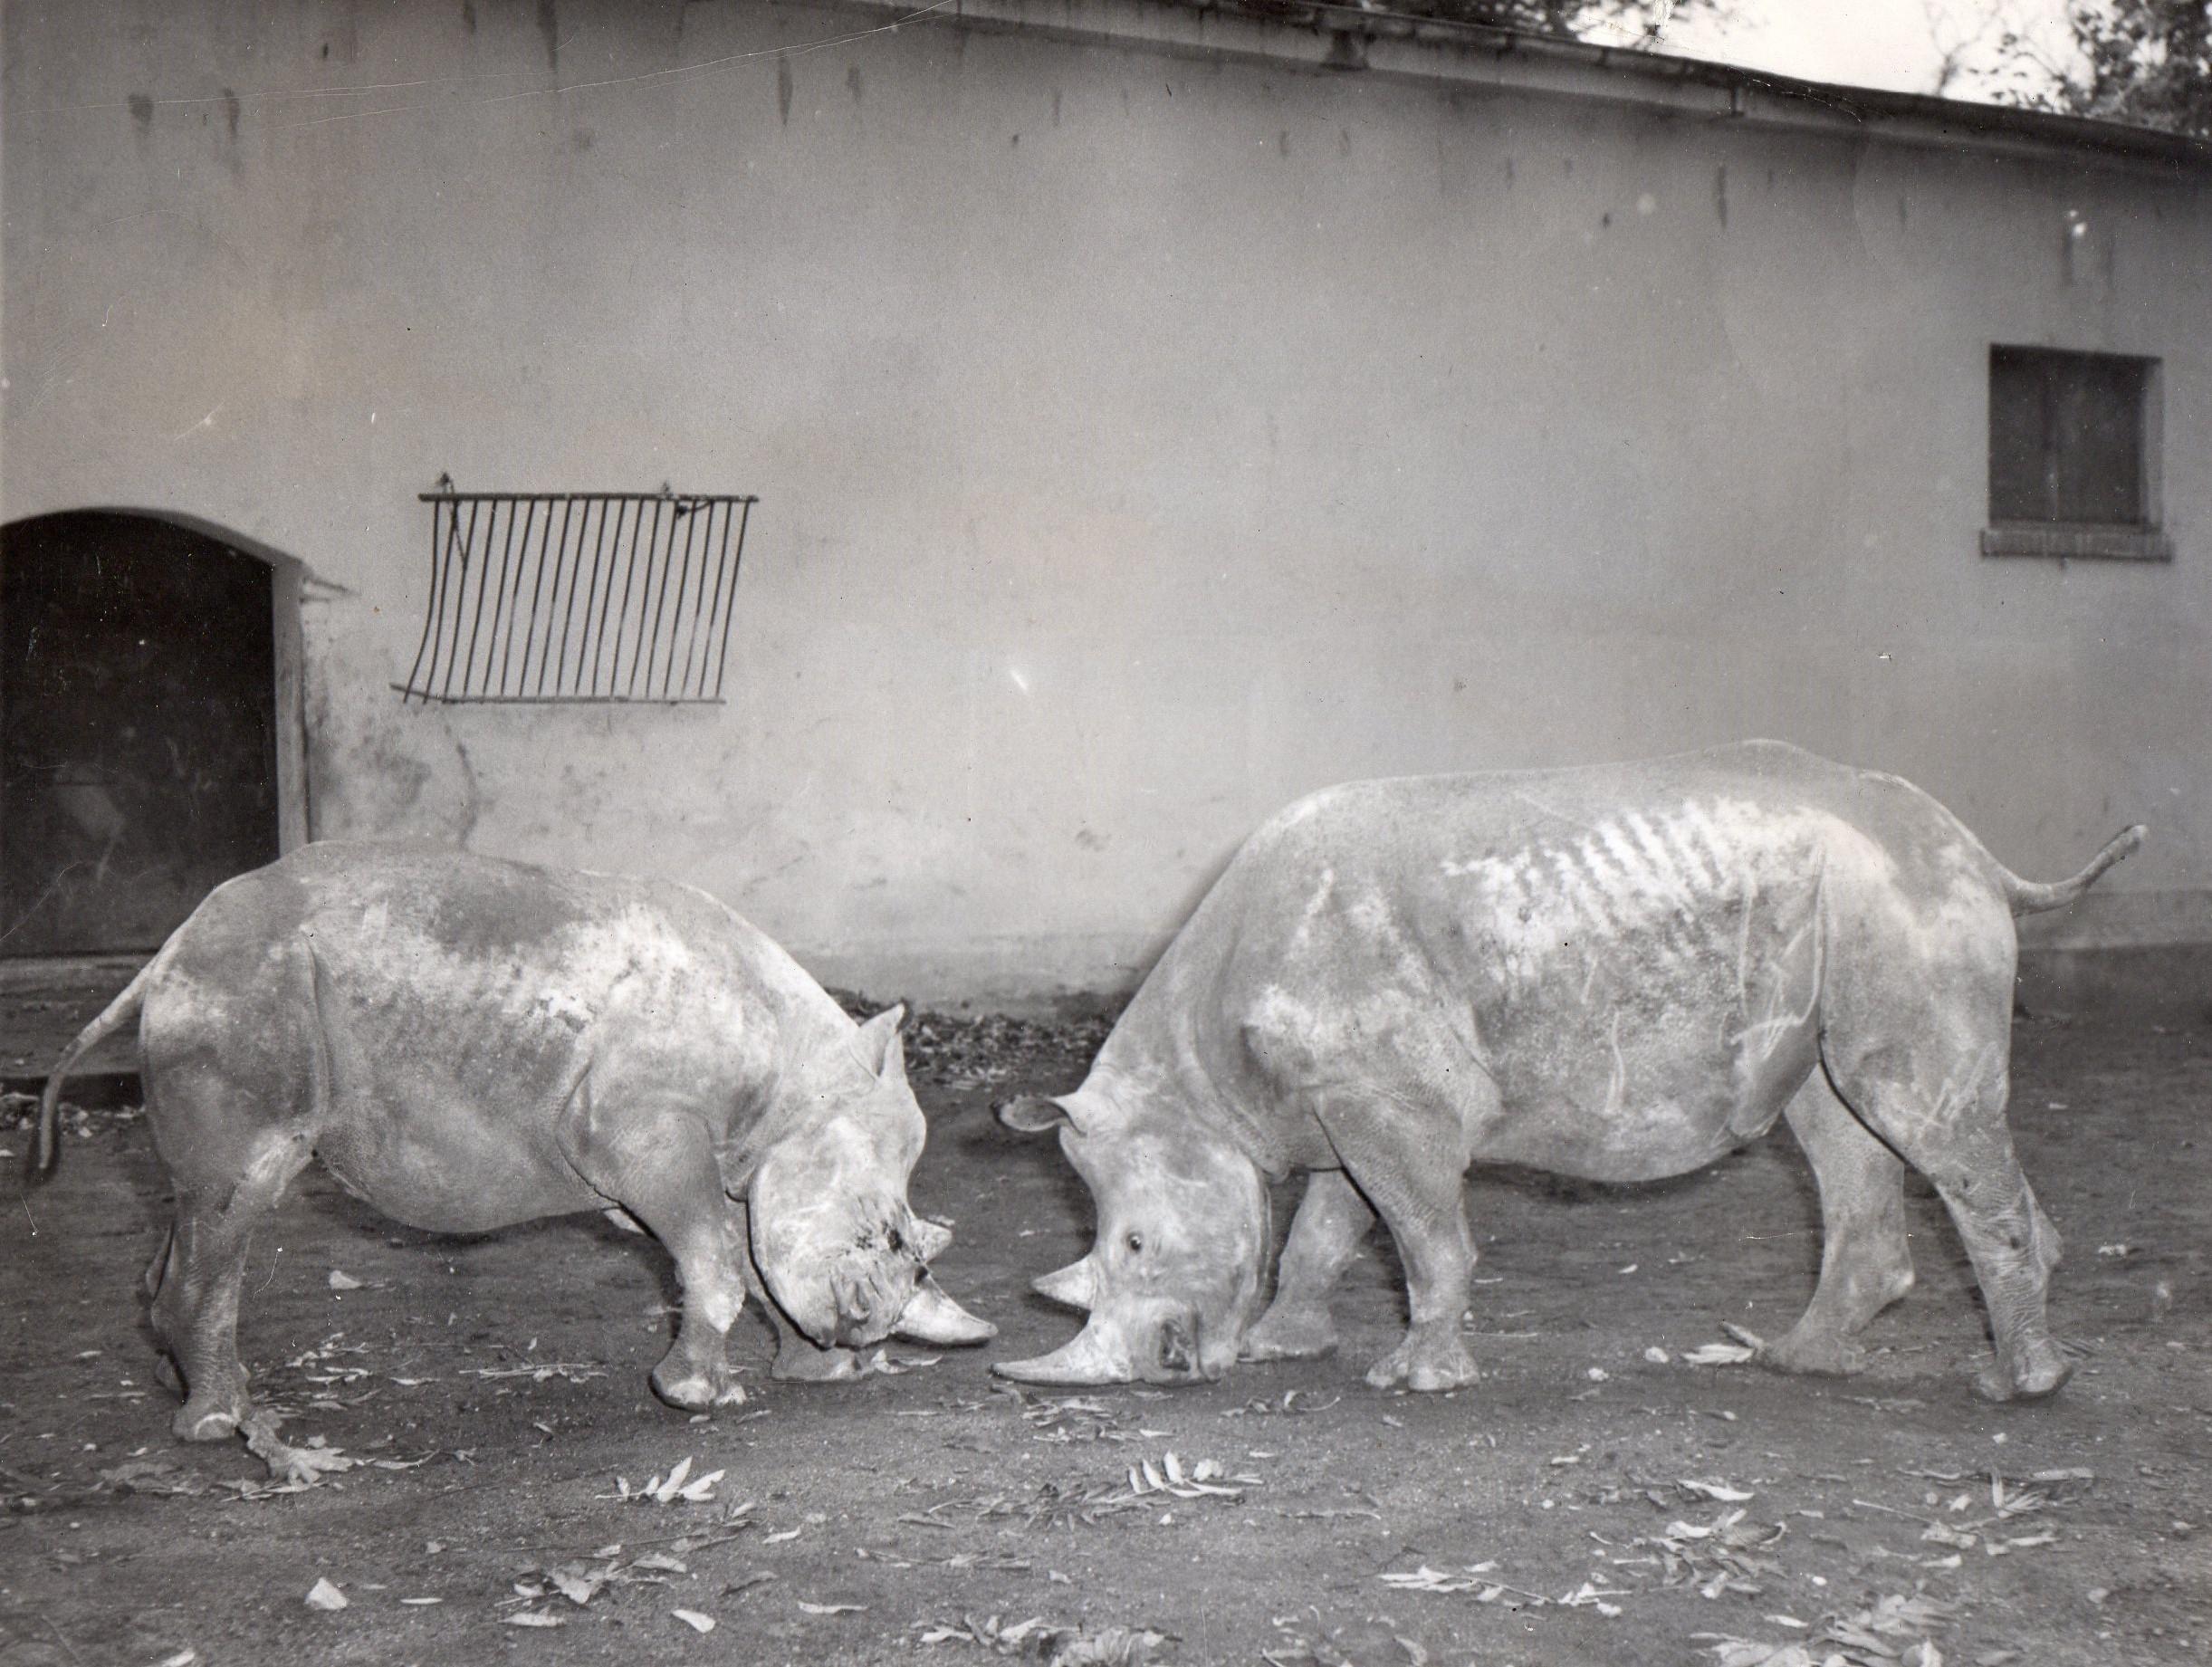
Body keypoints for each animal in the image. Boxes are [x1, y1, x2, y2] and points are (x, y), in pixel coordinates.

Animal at [30, 842, 992, 1448]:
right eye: (874, 1240)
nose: (862, 1335)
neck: (795, 1083)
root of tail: (165, 955)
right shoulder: (640, 1127)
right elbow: (716, 1257)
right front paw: (696, 1396)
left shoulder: (732, 1161)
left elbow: (749, 1257)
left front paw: (812, 1377)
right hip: (244, 994)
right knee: (240, 1194)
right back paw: (218, 1426)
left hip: (232, 990)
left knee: (200, 1205)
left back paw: (182, 1387)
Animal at [998, 742, 2141, 1403]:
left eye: (1133, 1243)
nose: (1157, 1369)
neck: (1196, 1087)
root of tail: (1973, 847)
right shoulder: (1343, 1100)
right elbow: (1327, 1226)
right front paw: (1287, 1346)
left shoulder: (1386, 1101)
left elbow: (1422, 1232)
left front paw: (1414, 1379)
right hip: (1850, 913)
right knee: (1836, 1120)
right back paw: (1797, 1359)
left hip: (1900, 913)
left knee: (1906, 1112)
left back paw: (2014, 1387)